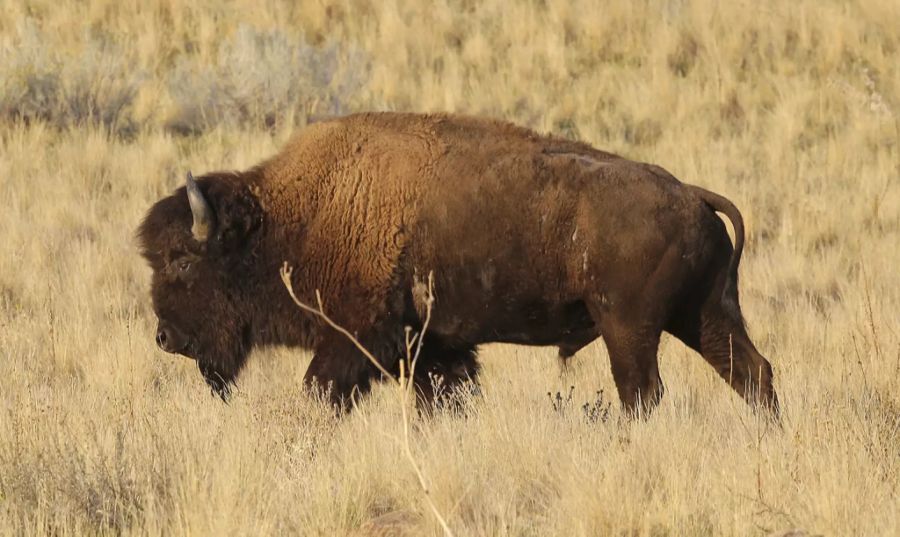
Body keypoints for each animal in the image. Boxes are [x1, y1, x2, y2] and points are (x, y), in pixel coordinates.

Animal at [137, 112, 776, 414]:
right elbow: (445, 397)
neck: (297, 215)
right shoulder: (434, 348)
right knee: (752, 373)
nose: (165, 337)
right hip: (703, 315)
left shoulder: (358, 340)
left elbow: (321, 388)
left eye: (183, 261)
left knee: (642, 393)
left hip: (630, 327)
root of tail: (692, 194)